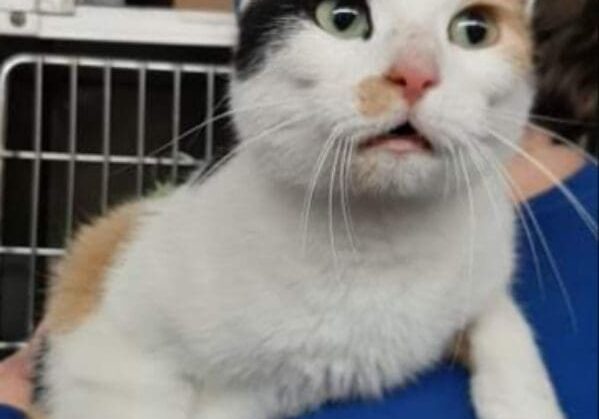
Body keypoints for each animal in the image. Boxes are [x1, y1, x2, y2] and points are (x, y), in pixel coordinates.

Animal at [35, 0, 564, 419]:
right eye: (342, 18)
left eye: (475, 29)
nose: (415, 74)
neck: (377, 241)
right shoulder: (109, 333)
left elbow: (505, 324)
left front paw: (527, 405)